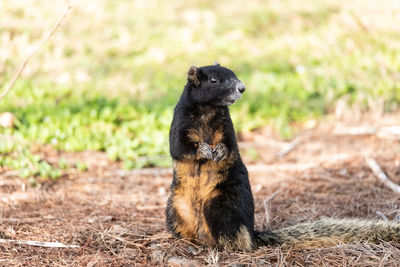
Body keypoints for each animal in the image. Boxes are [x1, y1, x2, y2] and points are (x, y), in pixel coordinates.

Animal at [165, 63, 400, 251]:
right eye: (214, 80)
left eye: (233, 73)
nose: (242, 87)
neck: (208, 110)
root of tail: (252, 234)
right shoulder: (180, 120)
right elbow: (179, 147)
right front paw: (204, 150)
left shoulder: (228, 126)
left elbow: (231, 145)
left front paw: (220, 150)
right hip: (176, 208)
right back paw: (190, 243)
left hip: (221, 207)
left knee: (236, 240)